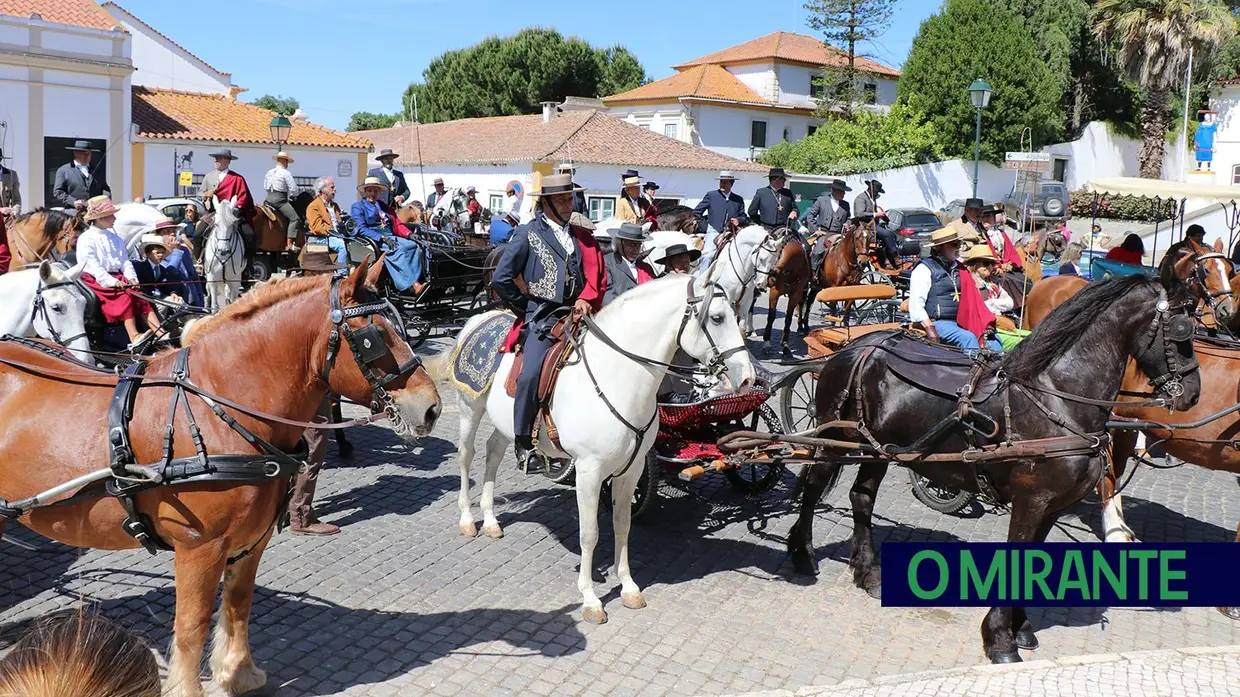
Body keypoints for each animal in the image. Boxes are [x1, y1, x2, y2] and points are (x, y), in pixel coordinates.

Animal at [0, 256, 441, 694]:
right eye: (373, 337)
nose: (432, 407)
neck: (219, 408)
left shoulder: (252, 540)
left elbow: (239, 603)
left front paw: (239, 672)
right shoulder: (199, 548)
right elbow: (191, 626)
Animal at [446, 271, 753, 617]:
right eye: (717, 318)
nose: (748, 378)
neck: (617, 377)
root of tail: (481, 318)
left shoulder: (632, 470)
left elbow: (622, 524)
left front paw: (628, 586)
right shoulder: (589, 472)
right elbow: (589, 534)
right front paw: (590, 598)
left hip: (506, 423)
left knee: (493, 453)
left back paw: (490, 520)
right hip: (469, 409)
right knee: (466, 455)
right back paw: (468, 519)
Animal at [788, 249, 1205, 659]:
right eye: (1182, 330)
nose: (1193, 393)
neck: (1057, 397)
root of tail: (857, 346)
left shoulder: (1053, 505)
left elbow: (1035, 555)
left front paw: (1020, 627)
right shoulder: (1031, 499)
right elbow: (1019, 554)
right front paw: (1001, 638)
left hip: (880, 450)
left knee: (861, 496)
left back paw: (867, 572)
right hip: (834, 437)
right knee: (813, 487)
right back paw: (802, 554)